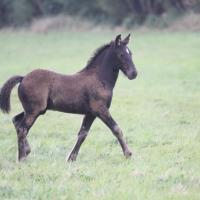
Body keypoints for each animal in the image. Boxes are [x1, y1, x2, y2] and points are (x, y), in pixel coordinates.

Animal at [0, 34, 137, 162]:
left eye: (130, 53)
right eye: (121, 55)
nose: (134, 74)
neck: (99, 78)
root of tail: (23, 78)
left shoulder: (91, 113)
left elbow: (83, 134)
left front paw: (71, 158)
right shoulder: (100, 110)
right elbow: (116, 129)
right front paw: (128, 154)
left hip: (33, 110)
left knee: (16, 121)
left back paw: (27, 150)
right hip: (34, 111)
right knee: (22, 129)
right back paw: (22, 158)